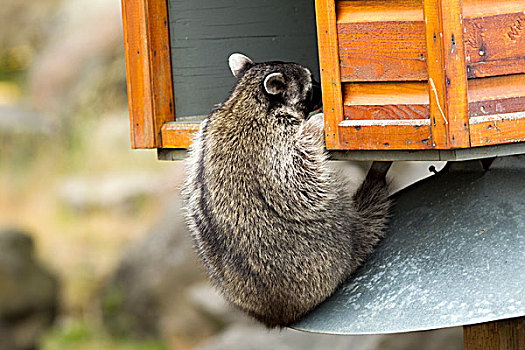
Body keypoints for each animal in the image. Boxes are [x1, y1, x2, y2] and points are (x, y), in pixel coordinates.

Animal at [182, 53, 390, 326]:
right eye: (311, 85)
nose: (322, 94)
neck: (245, 98)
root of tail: (276, 312)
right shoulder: (273, 141)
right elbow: (298, 170)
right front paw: (315, 124)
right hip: (329, 249)